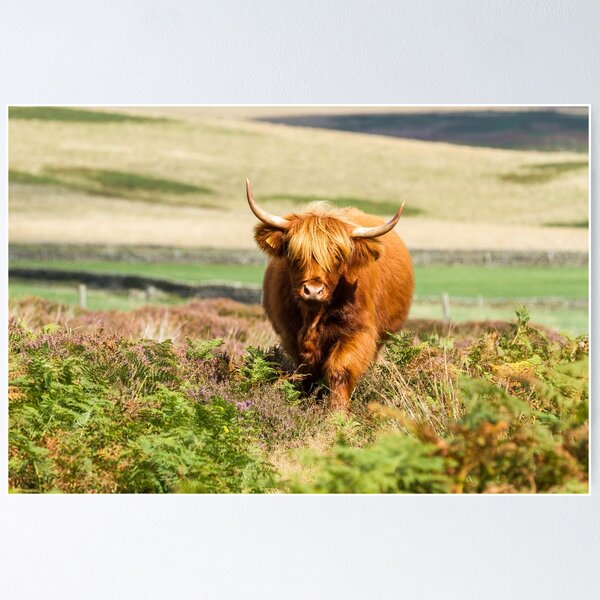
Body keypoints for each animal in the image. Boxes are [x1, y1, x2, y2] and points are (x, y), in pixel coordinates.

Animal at [247, 180, 412, 410]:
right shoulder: (290, 335)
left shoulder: (358, 332)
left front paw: (337, 412)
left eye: (338, 256)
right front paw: (309, 405)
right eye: (295, 254)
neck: (313, 316)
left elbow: (340, 371)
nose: (313, 291)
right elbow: (307, 374)